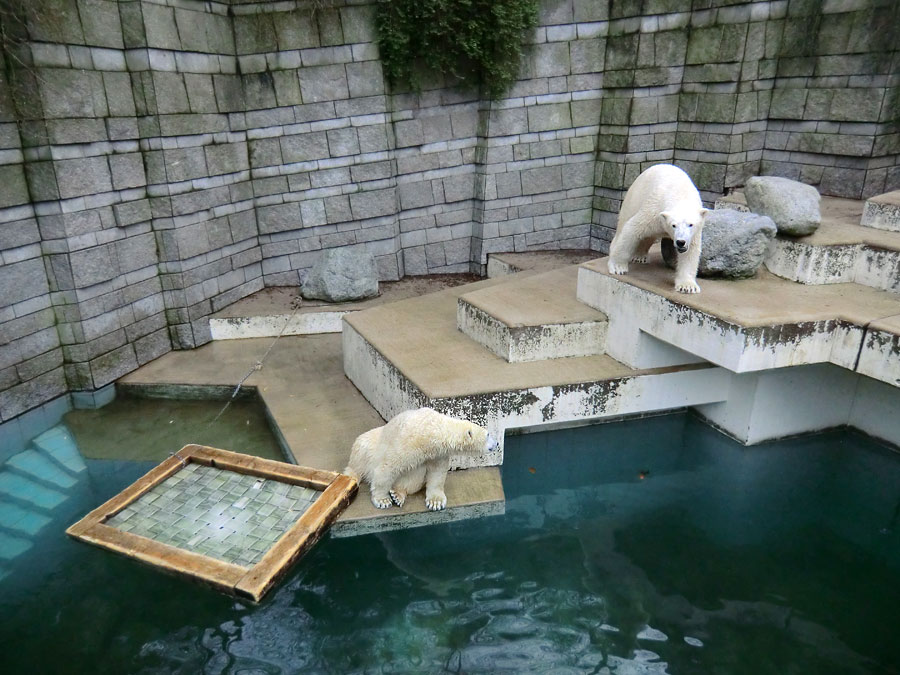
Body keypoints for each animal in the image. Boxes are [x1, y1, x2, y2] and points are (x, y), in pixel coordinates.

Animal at [344, 406, 500, 512]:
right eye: (488, 435)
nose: (497, 443)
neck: (434, 430)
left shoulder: (437, 453)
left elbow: (436, 473)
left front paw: (436, 502)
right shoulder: (409, 441)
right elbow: (388, 466)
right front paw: (382, 500)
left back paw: (398, 494)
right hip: (368, 445)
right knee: (359, 458)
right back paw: (353, 476)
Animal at [604, 164, 712, 294]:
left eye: (691, 224)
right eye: (673, 225)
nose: (680, 242)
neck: (681, 194)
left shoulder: (694, 234)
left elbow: (691, 252)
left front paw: (687, 286)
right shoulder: (654, 212)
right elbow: (632, 230)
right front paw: (618, 267)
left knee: (648, 237)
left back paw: (640, 256)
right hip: (634, 197)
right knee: (624, 225)